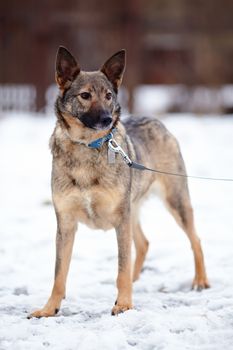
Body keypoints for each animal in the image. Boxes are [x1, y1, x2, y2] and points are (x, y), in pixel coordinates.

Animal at [28, 45, 209, 318]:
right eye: (85, 95)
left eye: (109, 96)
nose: (106, 119)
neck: (87, 147)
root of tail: (155, 119)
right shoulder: (66, 224)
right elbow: (59, 274)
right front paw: (49, 309)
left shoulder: (120, 220)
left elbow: (121, 267)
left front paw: (124, 304)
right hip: (133, 212)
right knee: (143, 244)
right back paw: (135, 281)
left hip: (174, 203)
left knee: (194, 240)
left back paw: (200, 280)